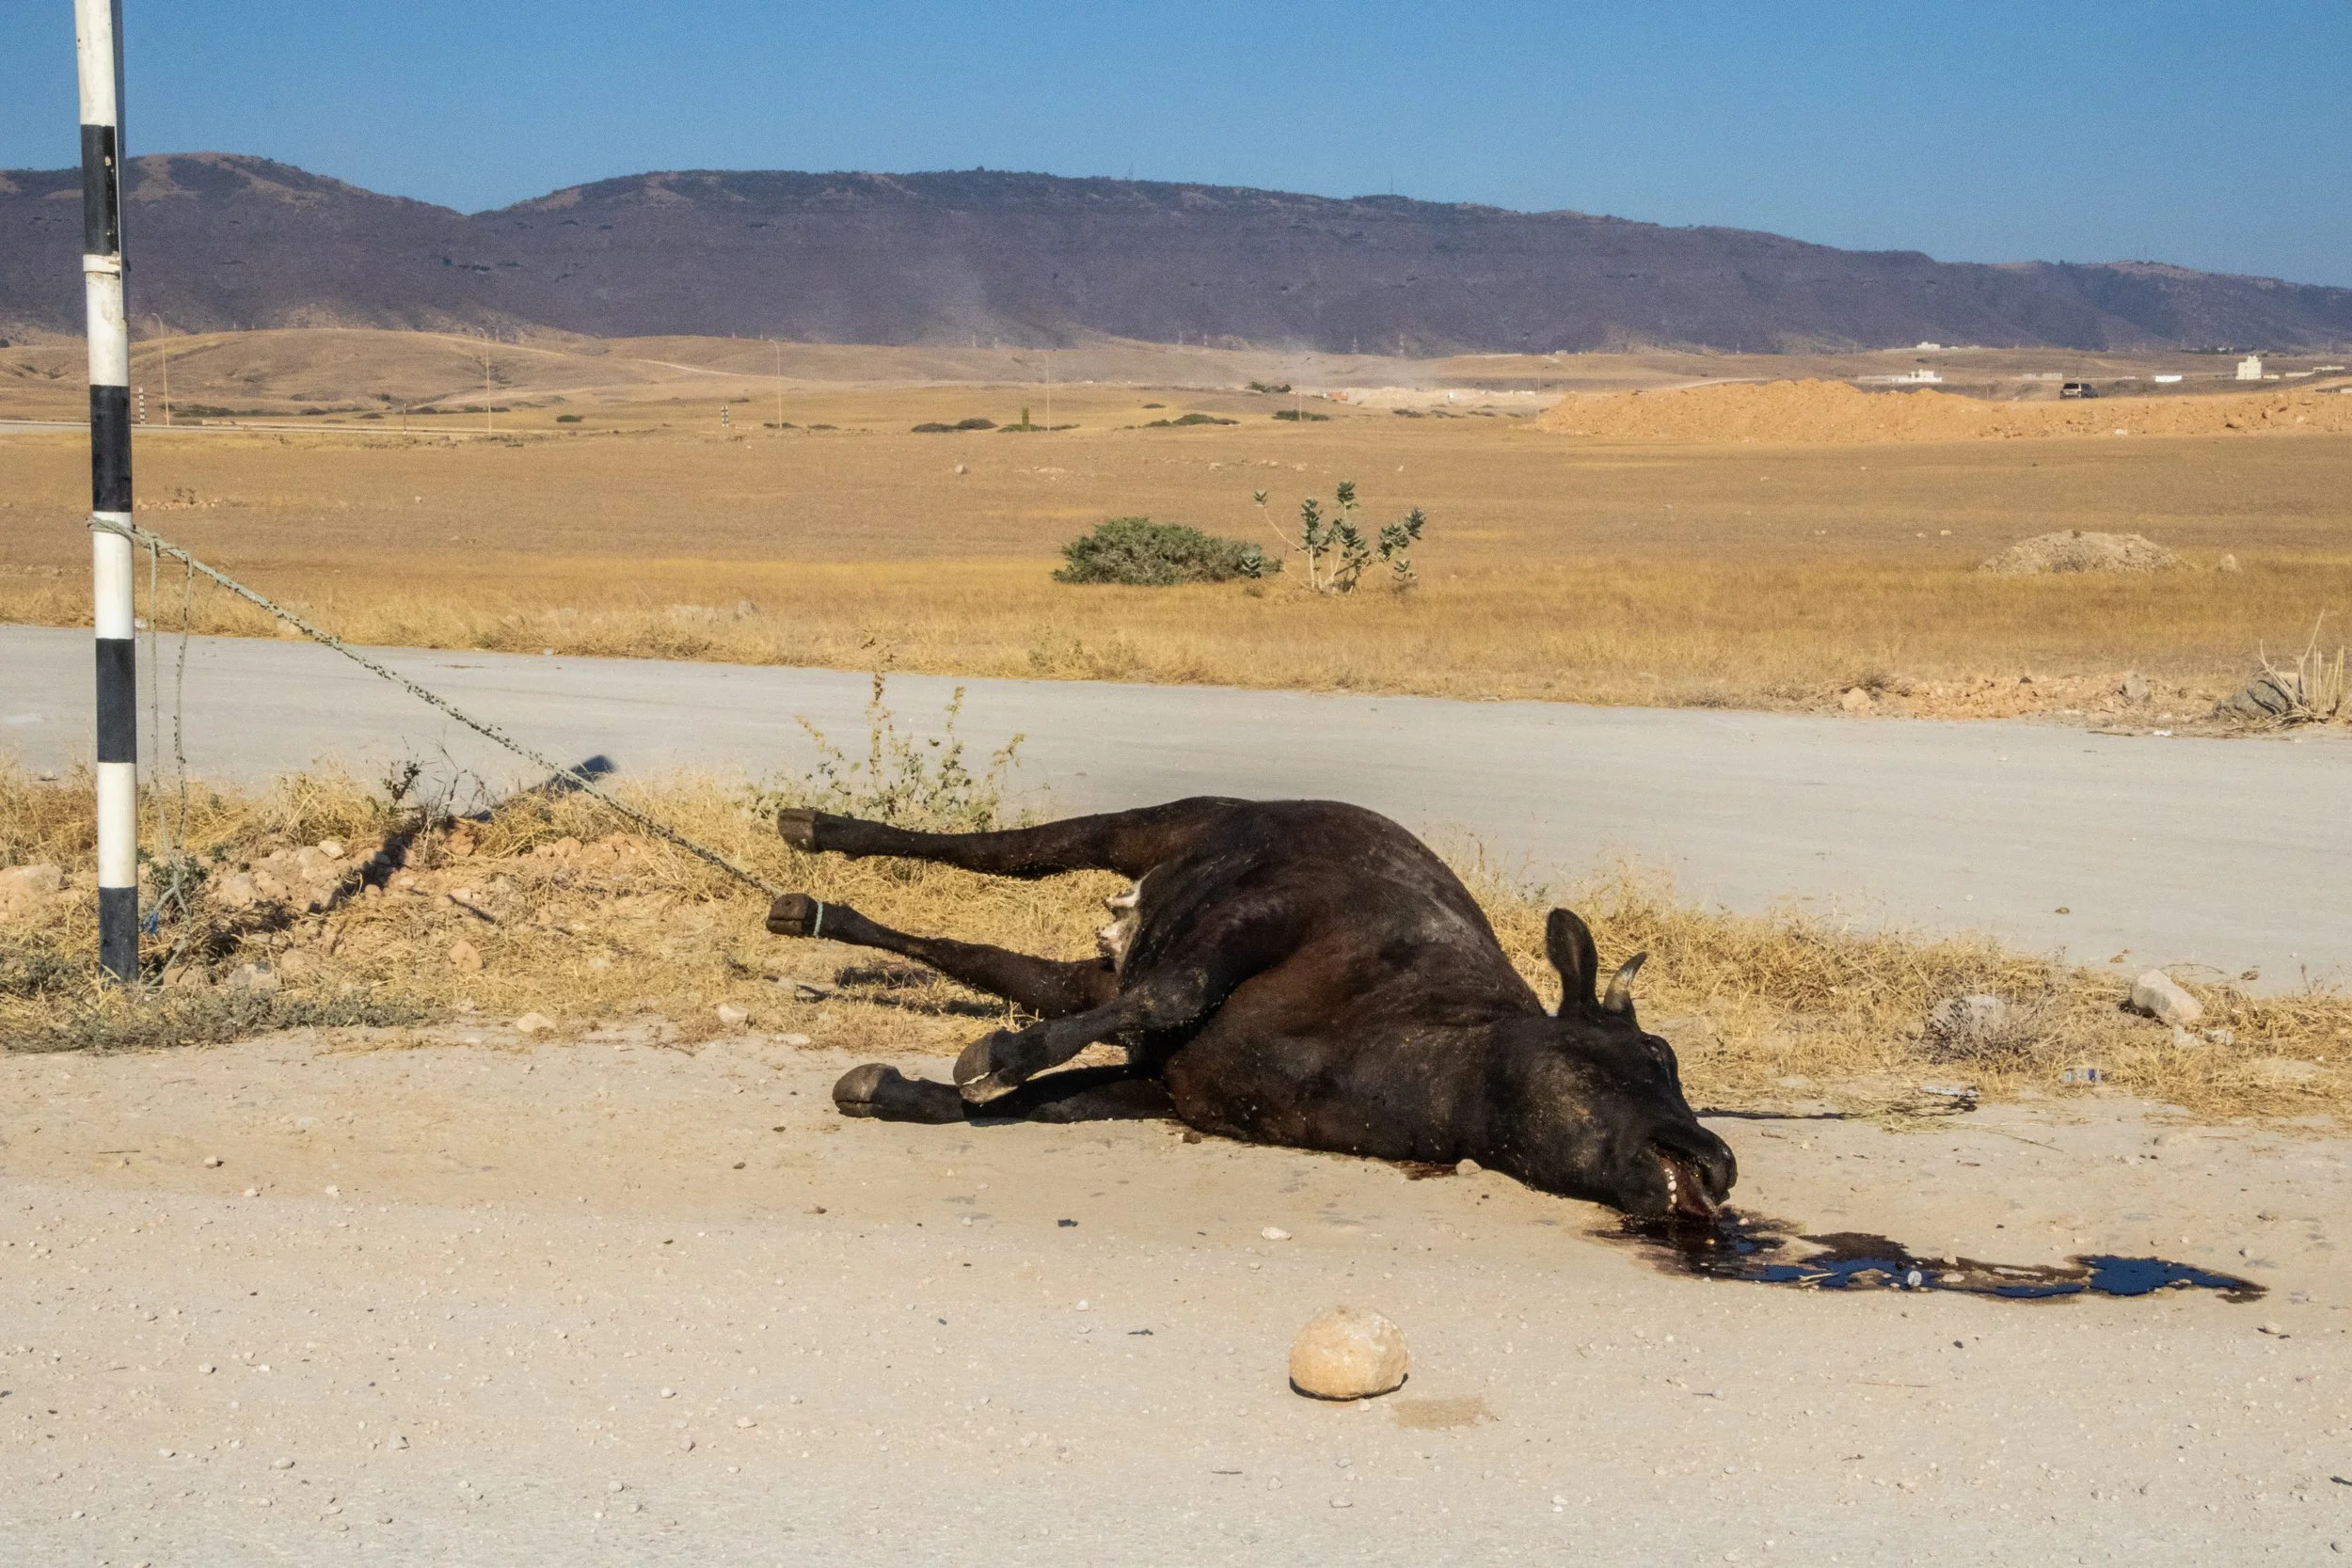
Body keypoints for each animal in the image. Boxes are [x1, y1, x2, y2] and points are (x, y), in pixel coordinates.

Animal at [766, 797, 1734, 1221]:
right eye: (1657, 1055)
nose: (1719, 1161)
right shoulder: (1277, 914)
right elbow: (1179, 989)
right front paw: (994, 1056)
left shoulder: (1166, 1088)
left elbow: (1033, 1105)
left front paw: (899, 1088)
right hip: (1151, 824)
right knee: (1005, 851)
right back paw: (819, 830)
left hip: (1085, 975)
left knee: (988, 958)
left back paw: (810, 911)